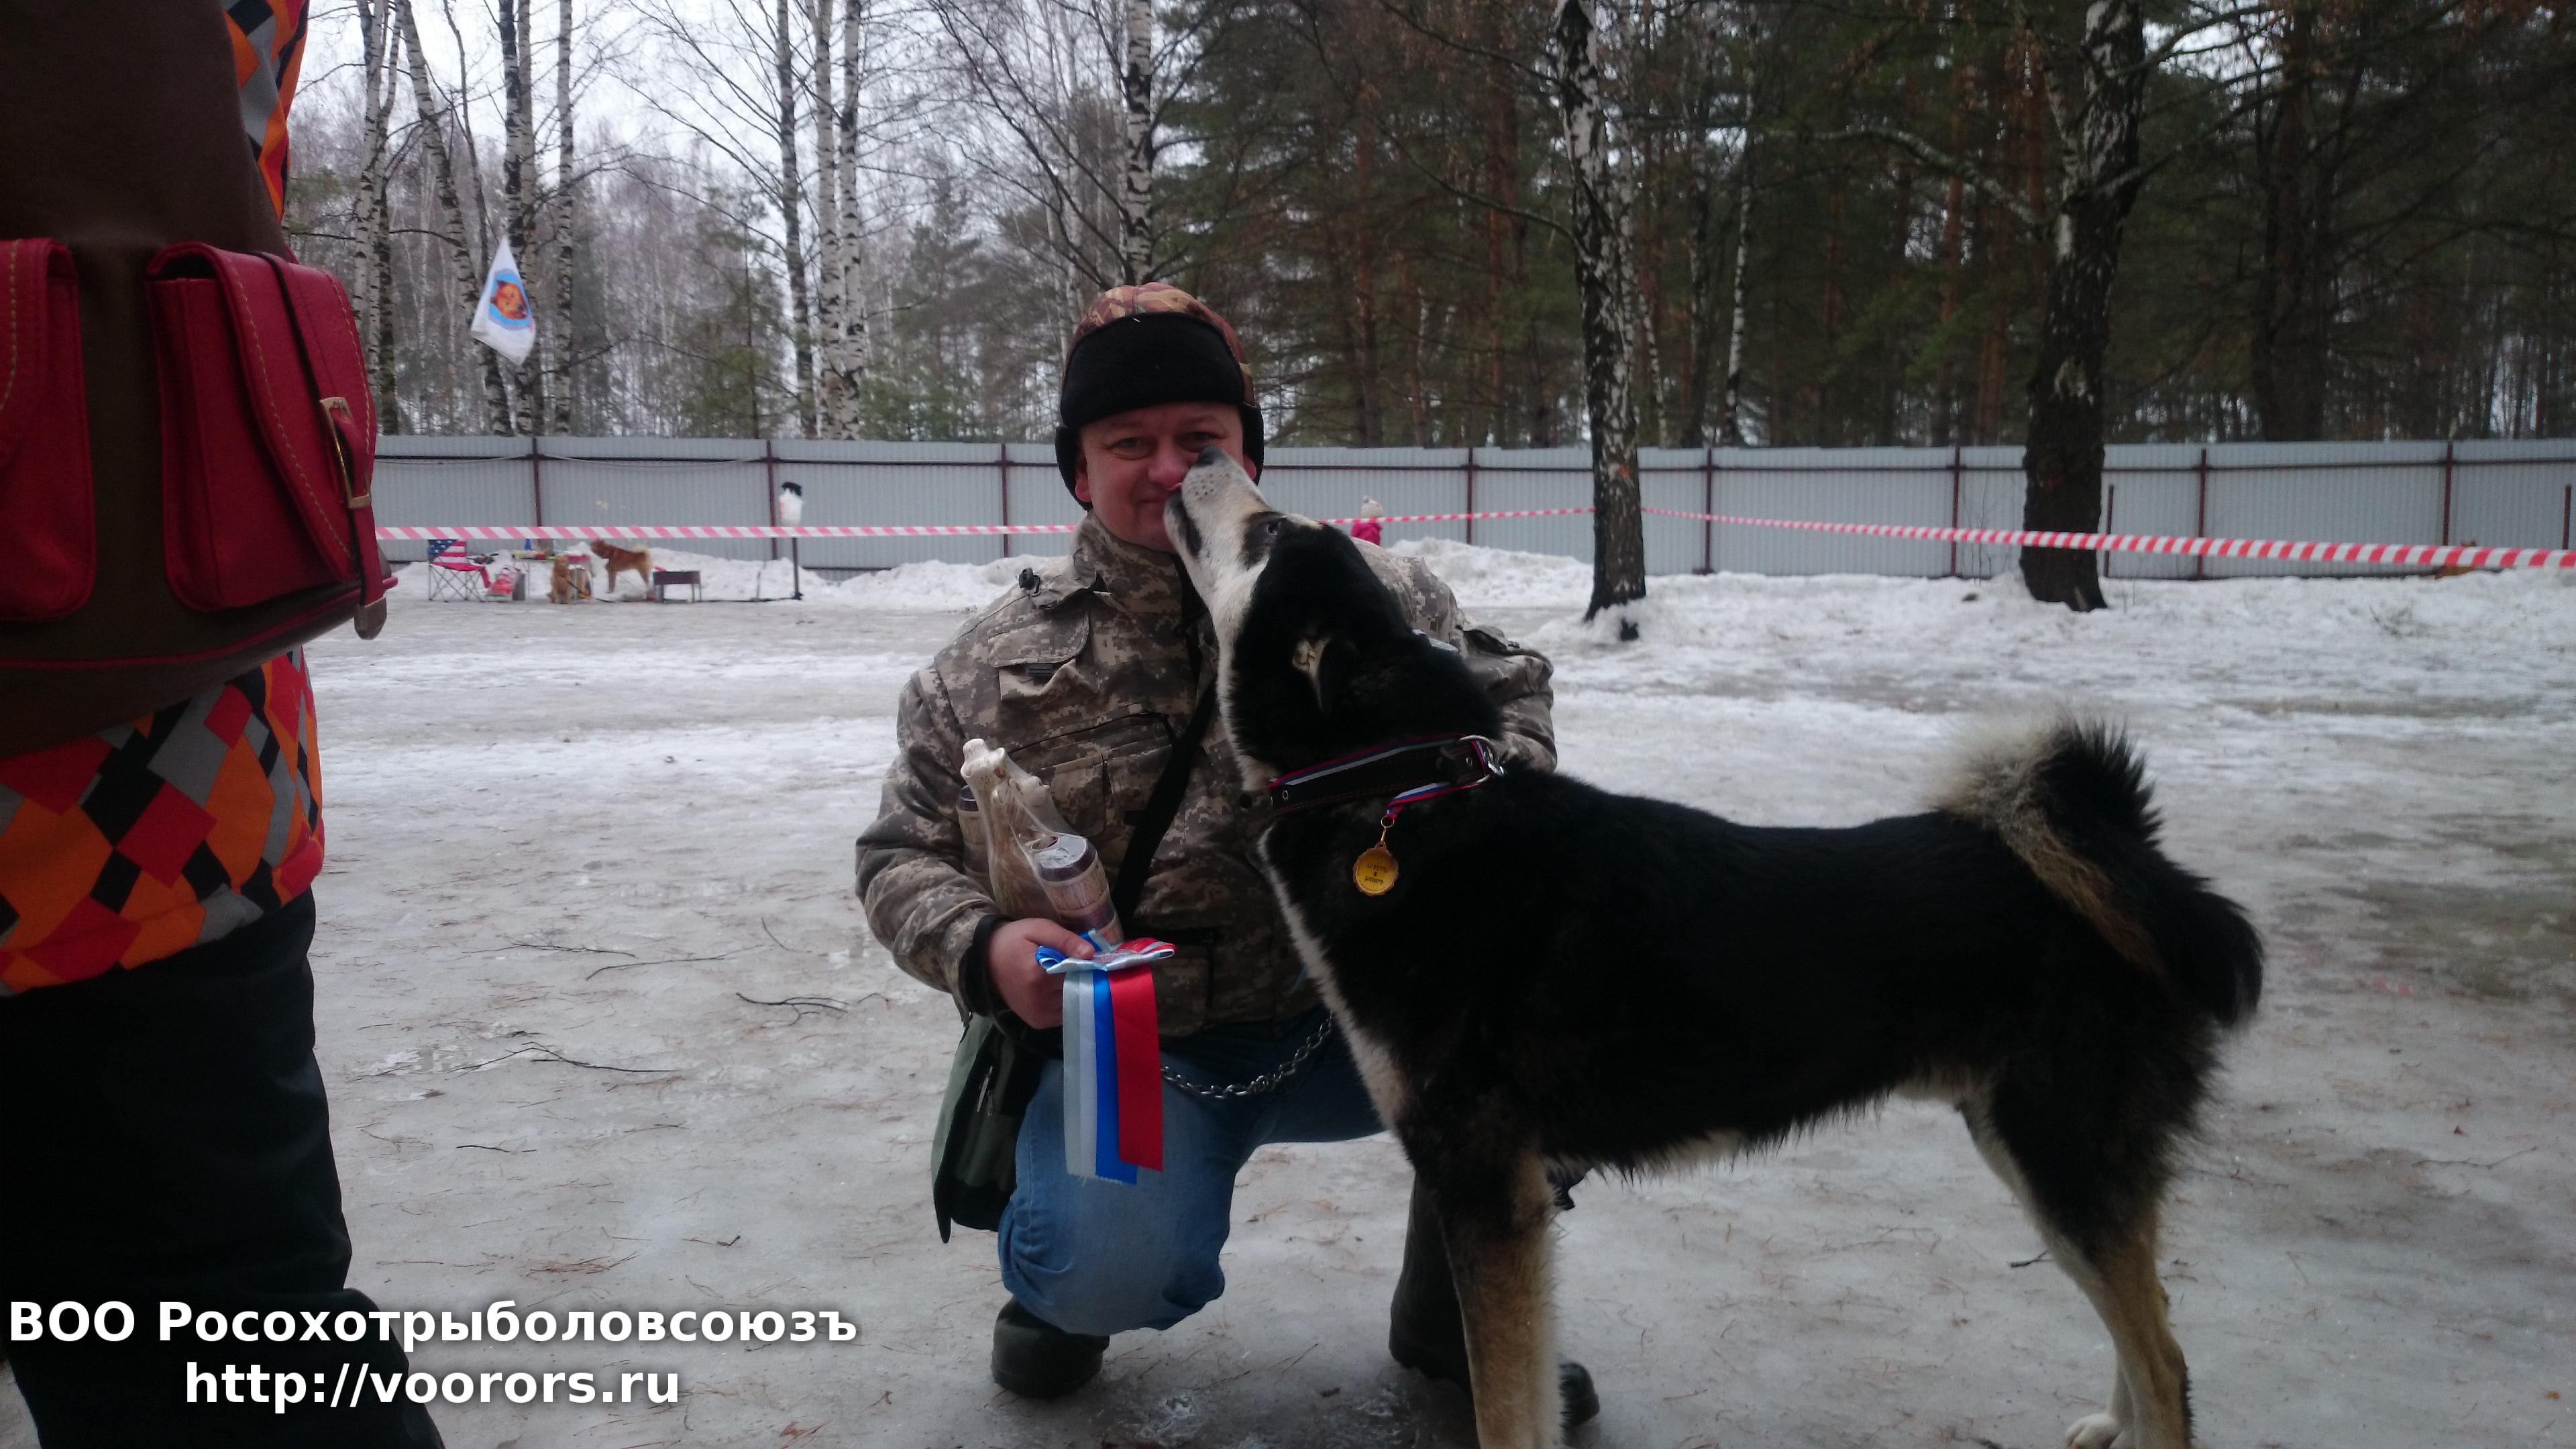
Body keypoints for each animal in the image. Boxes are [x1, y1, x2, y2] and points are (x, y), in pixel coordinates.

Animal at [1166, 448, 2263, 1449]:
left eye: (1269, 532)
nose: (1208, 453)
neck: (1401, 800)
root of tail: (2129, 860)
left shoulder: (1486, 1190)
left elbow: (1509, 1413)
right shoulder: (1505, 1197)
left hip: (2060, 1156)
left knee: (2166, 1359)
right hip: (2035, 1152)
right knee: (2146, 1330)